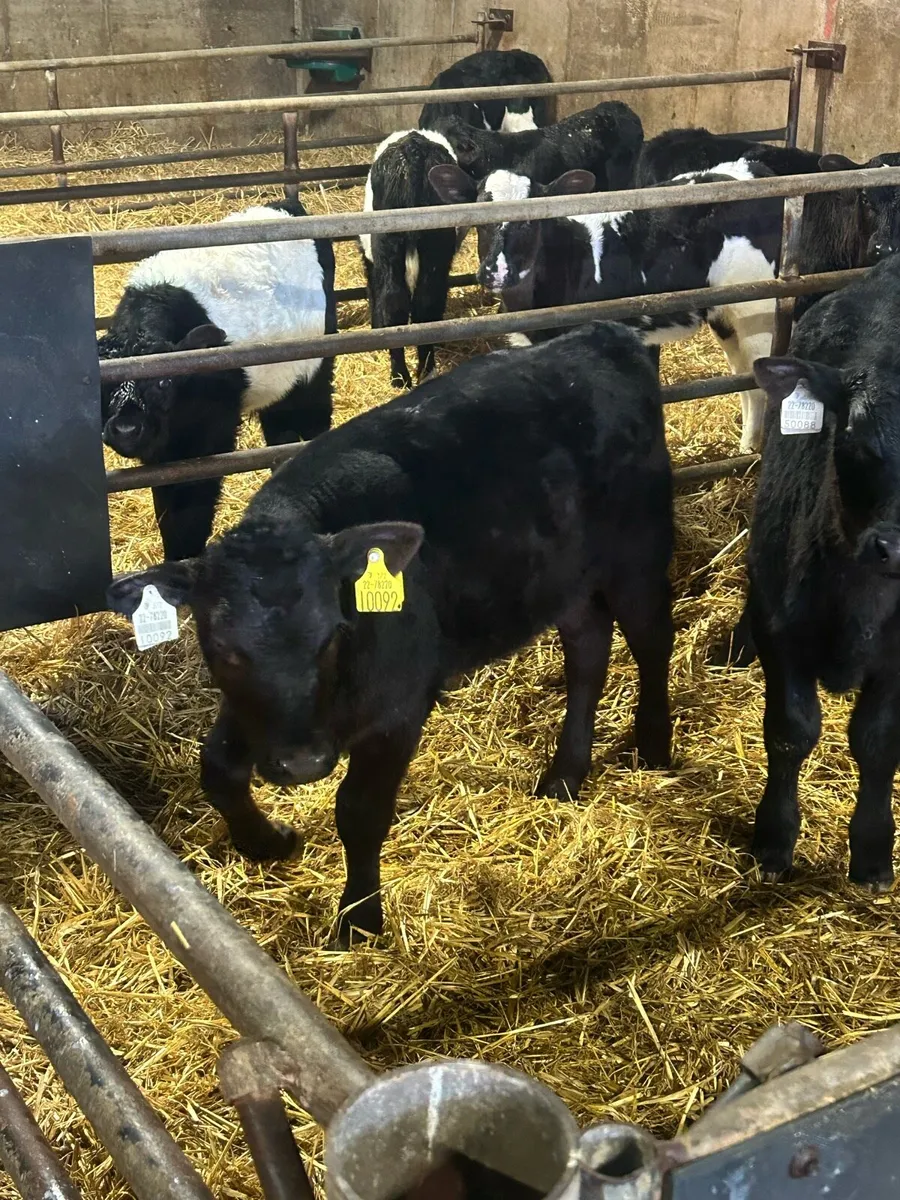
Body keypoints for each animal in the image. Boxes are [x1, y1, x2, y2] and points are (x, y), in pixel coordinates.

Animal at [99, 200, 335, 561]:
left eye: (165, 383)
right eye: (102, 386)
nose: (126, 428)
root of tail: (287, 205)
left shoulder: (208, 436)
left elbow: (188, 513)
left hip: (314, 372)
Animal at [106, 322, 675, 947]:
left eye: (332, 635)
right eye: (227, 651)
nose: (303, 764)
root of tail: (603, 332)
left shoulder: (399, 707)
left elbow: (358, 811)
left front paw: (359, 918)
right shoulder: (257, 712)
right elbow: (217, 767)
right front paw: (266, 842)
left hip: (638, 551)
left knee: (653, 640)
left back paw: (653, 744)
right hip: (560, 579)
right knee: (588, 651)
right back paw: (566, 773)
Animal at [359, 129, 461, 388]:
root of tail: (415, 148)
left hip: (389, 244)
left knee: (393, 301)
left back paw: (400, 376)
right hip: (435, 244)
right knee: (425, 303)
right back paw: (423, 372)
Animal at [725, 251, 900, 891]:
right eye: (851, 436)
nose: (894, 547)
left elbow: (878, 741)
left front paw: (873, 853)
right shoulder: (783, 631)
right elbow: (790, 731)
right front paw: (773, 840)